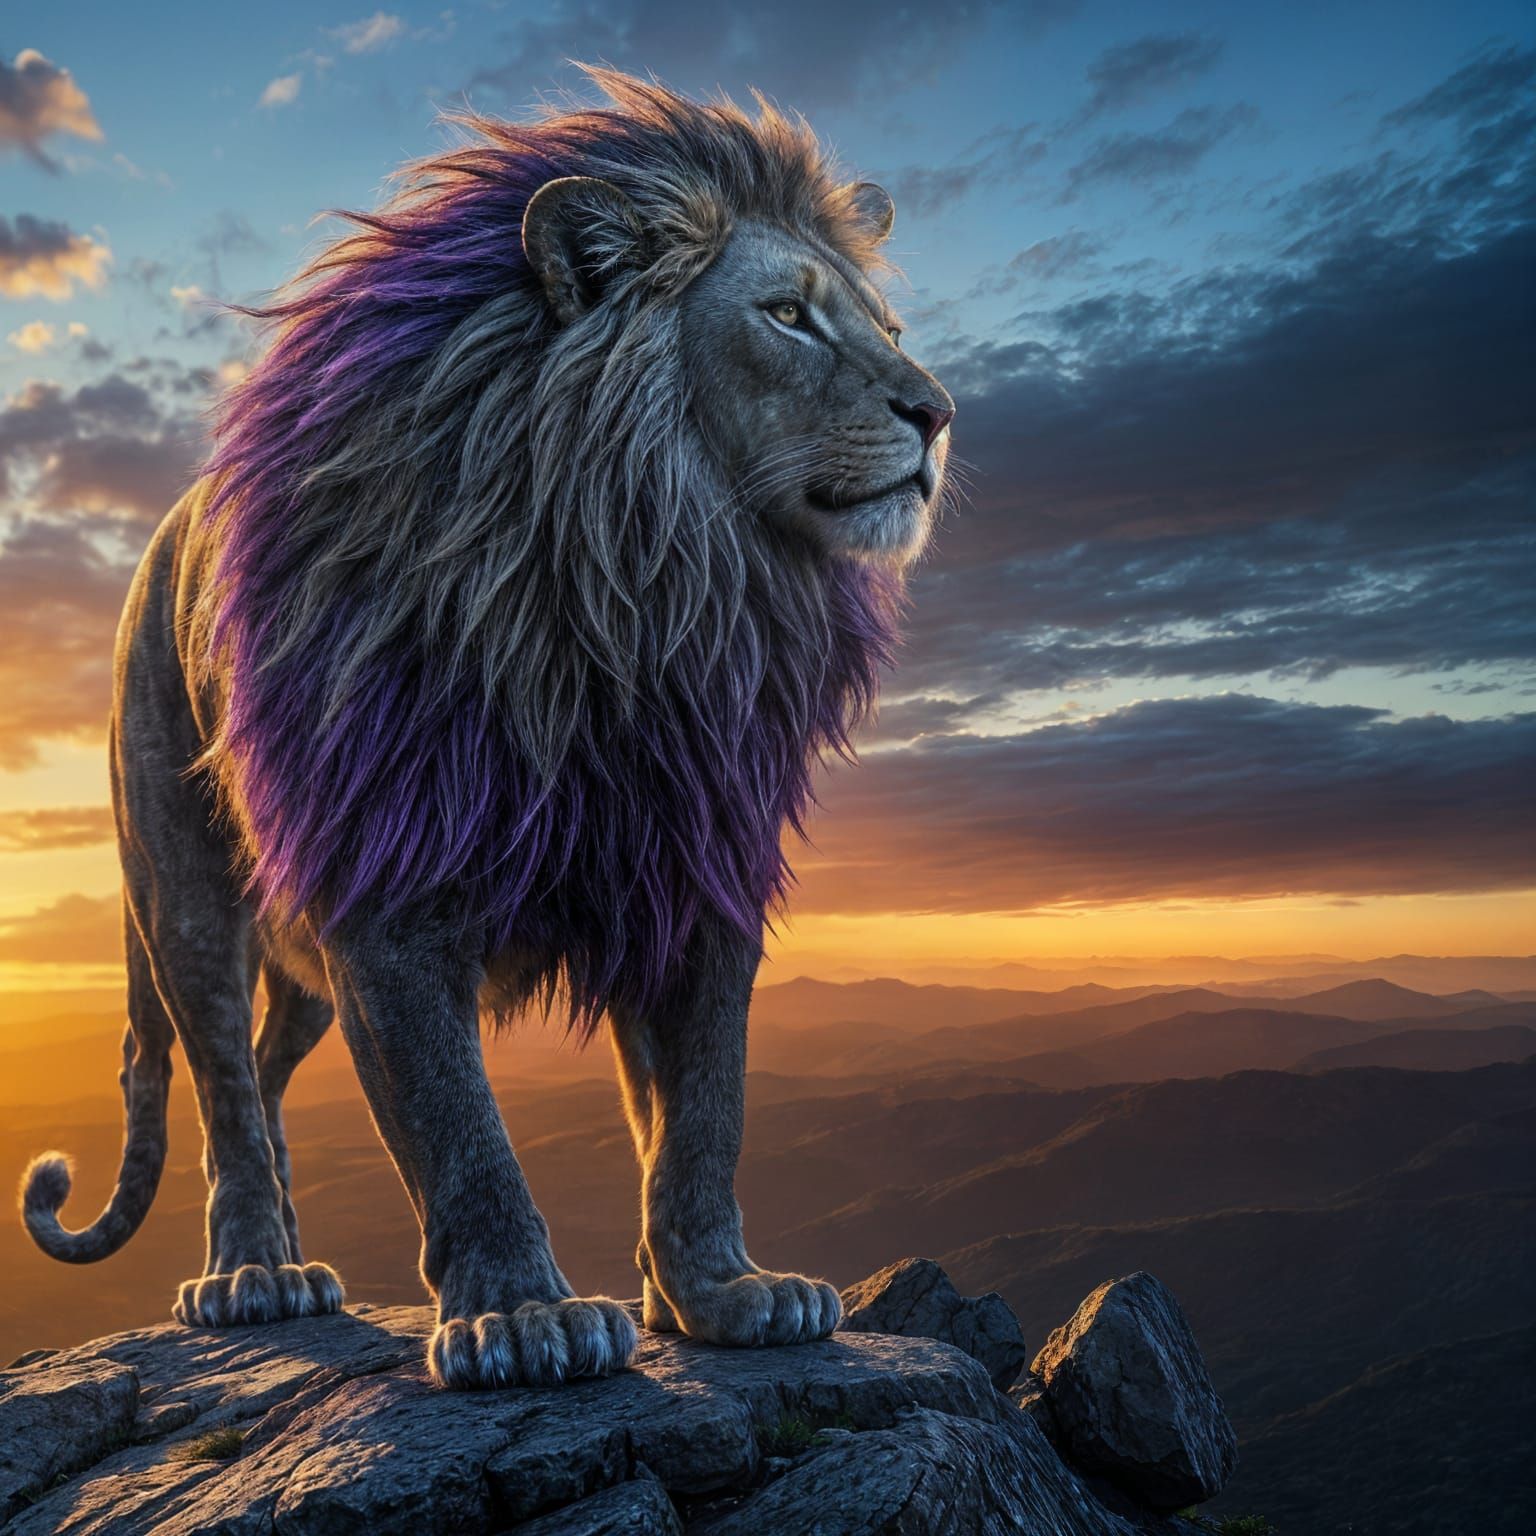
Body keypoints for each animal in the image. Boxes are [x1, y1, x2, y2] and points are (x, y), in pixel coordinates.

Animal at [20, 67, 955, 1390]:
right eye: (788, 315)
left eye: (891, 329)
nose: (937, 413)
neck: (641, 593)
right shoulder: (388, 881)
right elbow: (456, 1125)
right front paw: (519, 1316)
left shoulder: (693, 858)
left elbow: (703, 1106)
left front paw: (720, 1291)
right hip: (183, 889)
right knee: (218, 1080)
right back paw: (254, 1272)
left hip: (298, 970)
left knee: (260, 1074)